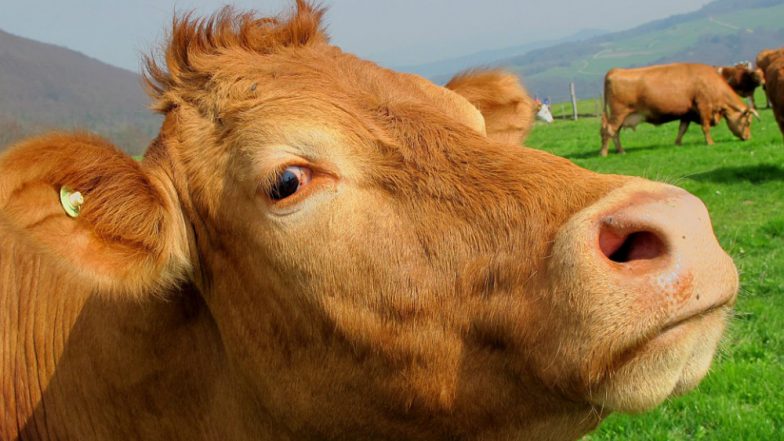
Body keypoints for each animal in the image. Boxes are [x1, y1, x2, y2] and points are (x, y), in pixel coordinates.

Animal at [601, 63, 758, 156]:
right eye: (748, 122)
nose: (748, 137)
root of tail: (614, 71)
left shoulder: (687, 113)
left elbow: (682, 129)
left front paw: (678, 144)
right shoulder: (703, 106)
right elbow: (705, 127)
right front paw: (710, 143)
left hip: (620, 116)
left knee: (614, 132)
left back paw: (619, 151)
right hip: (619, 114)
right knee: (609, 131)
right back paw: (606, 152)